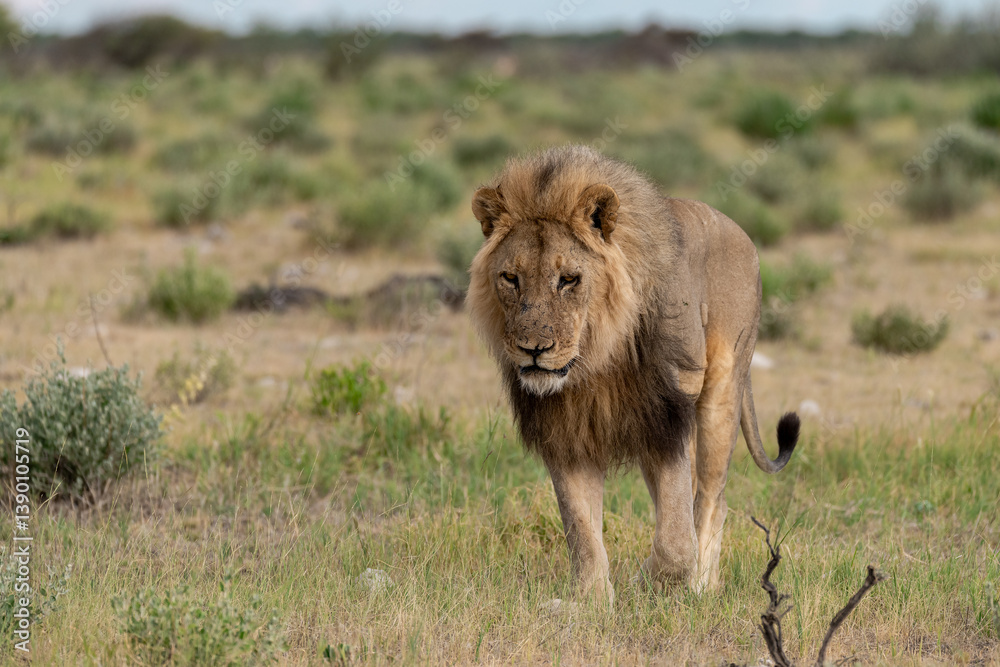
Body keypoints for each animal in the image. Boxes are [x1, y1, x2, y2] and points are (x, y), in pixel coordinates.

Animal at [467, 145, 799, 605]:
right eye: (510, 279)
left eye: (568, 279)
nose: (534, 350)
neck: (595, 359)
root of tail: (741, 233)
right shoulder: (565, 433)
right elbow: (581, 528)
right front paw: (592, 600)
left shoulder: (667, 417)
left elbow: (677, 541)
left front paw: (651, 582)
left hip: (723, 390)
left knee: (710, 498)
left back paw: (701, 586)